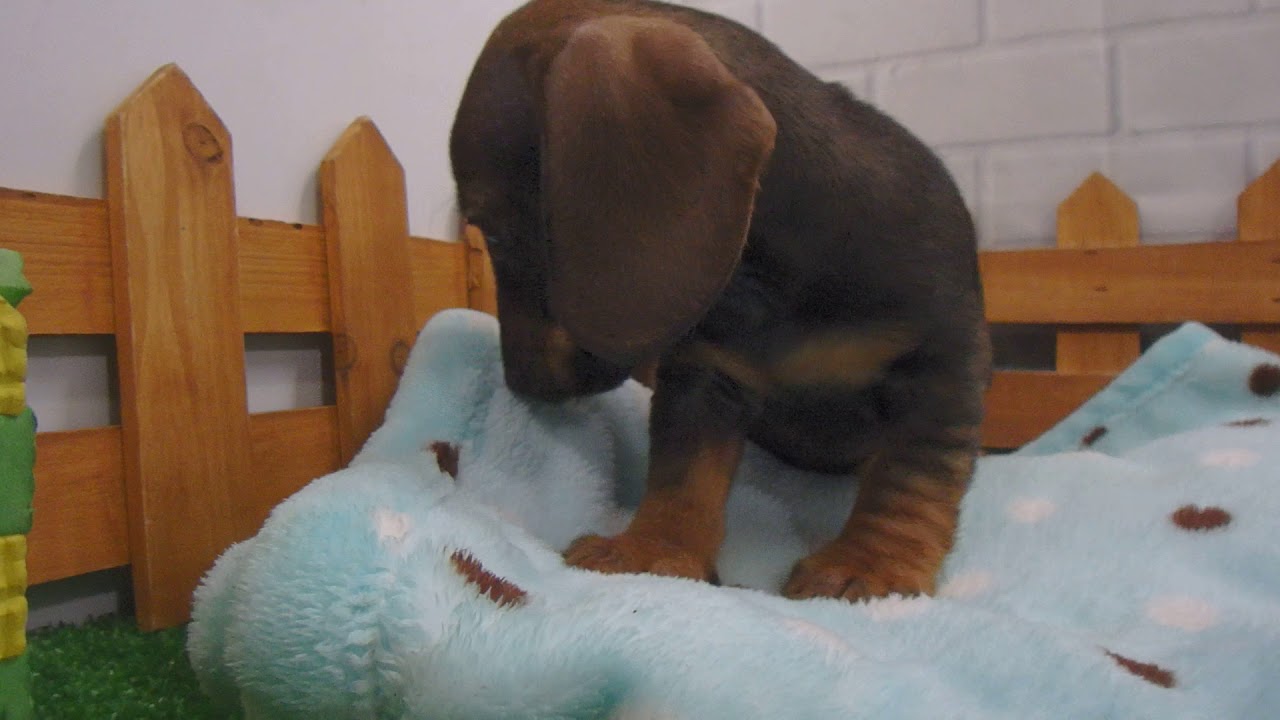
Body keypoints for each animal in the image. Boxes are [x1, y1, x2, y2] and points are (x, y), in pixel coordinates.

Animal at [449, 0, 991, 601]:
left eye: (497, 237)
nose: (519, 381)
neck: (767, 283)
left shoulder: (938, 365)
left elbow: (909, 474)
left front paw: (872, 563)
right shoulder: (704, 374)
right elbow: (685, 470)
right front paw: (653, 549)